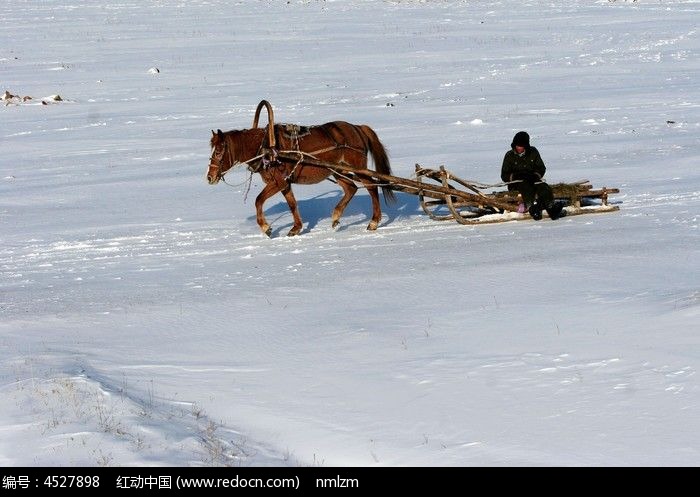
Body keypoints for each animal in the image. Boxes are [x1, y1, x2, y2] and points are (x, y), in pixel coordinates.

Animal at [206, 101, 394, 236]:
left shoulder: (278, 181)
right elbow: (292, 204)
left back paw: (374, 221)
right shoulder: (285, 183)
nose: (210, 177)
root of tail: (357, 128)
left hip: (357, 167)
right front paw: (296, 228)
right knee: (351, 188)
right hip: (338, 171)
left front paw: (266, 227)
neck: (266, 147)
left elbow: (258, 200)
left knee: (371, 187)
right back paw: (336, 216)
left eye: (219, 151)